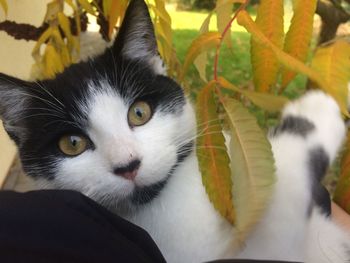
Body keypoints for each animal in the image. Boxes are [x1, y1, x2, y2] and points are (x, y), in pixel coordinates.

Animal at [0, 0, 350, 262]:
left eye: (139, 113)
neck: (172, 190)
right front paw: (318, 107)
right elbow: (281, 201)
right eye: (72, 143)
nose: (128, 166)